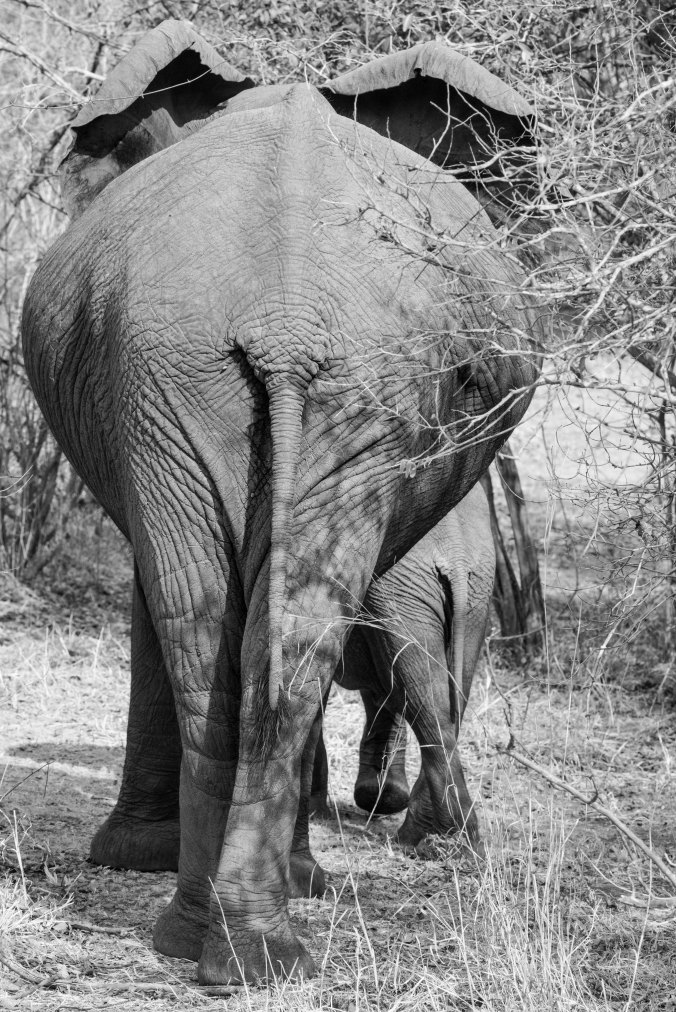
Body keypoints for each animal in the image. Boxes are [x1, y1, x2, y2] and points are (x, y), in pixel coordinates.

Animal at [310, 481, 495, 852]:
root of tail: (456, 551)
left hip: (404, 594)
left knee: (418, 691)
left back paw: (424, 837)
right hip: (469, 596)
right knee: (439, 696)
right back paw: (436, 838)